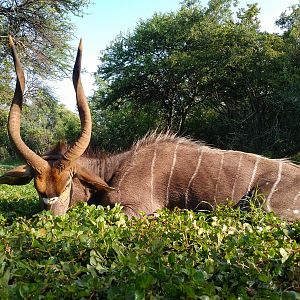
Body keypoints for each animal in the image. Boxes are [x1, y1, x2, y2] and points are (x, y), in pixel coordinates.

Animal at [0, 37, 300, 220]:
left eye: (68, 183)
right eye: (38, 188)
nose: (52, 218)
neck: (113, 170)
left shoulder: (137, 209)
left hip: (261, 207)